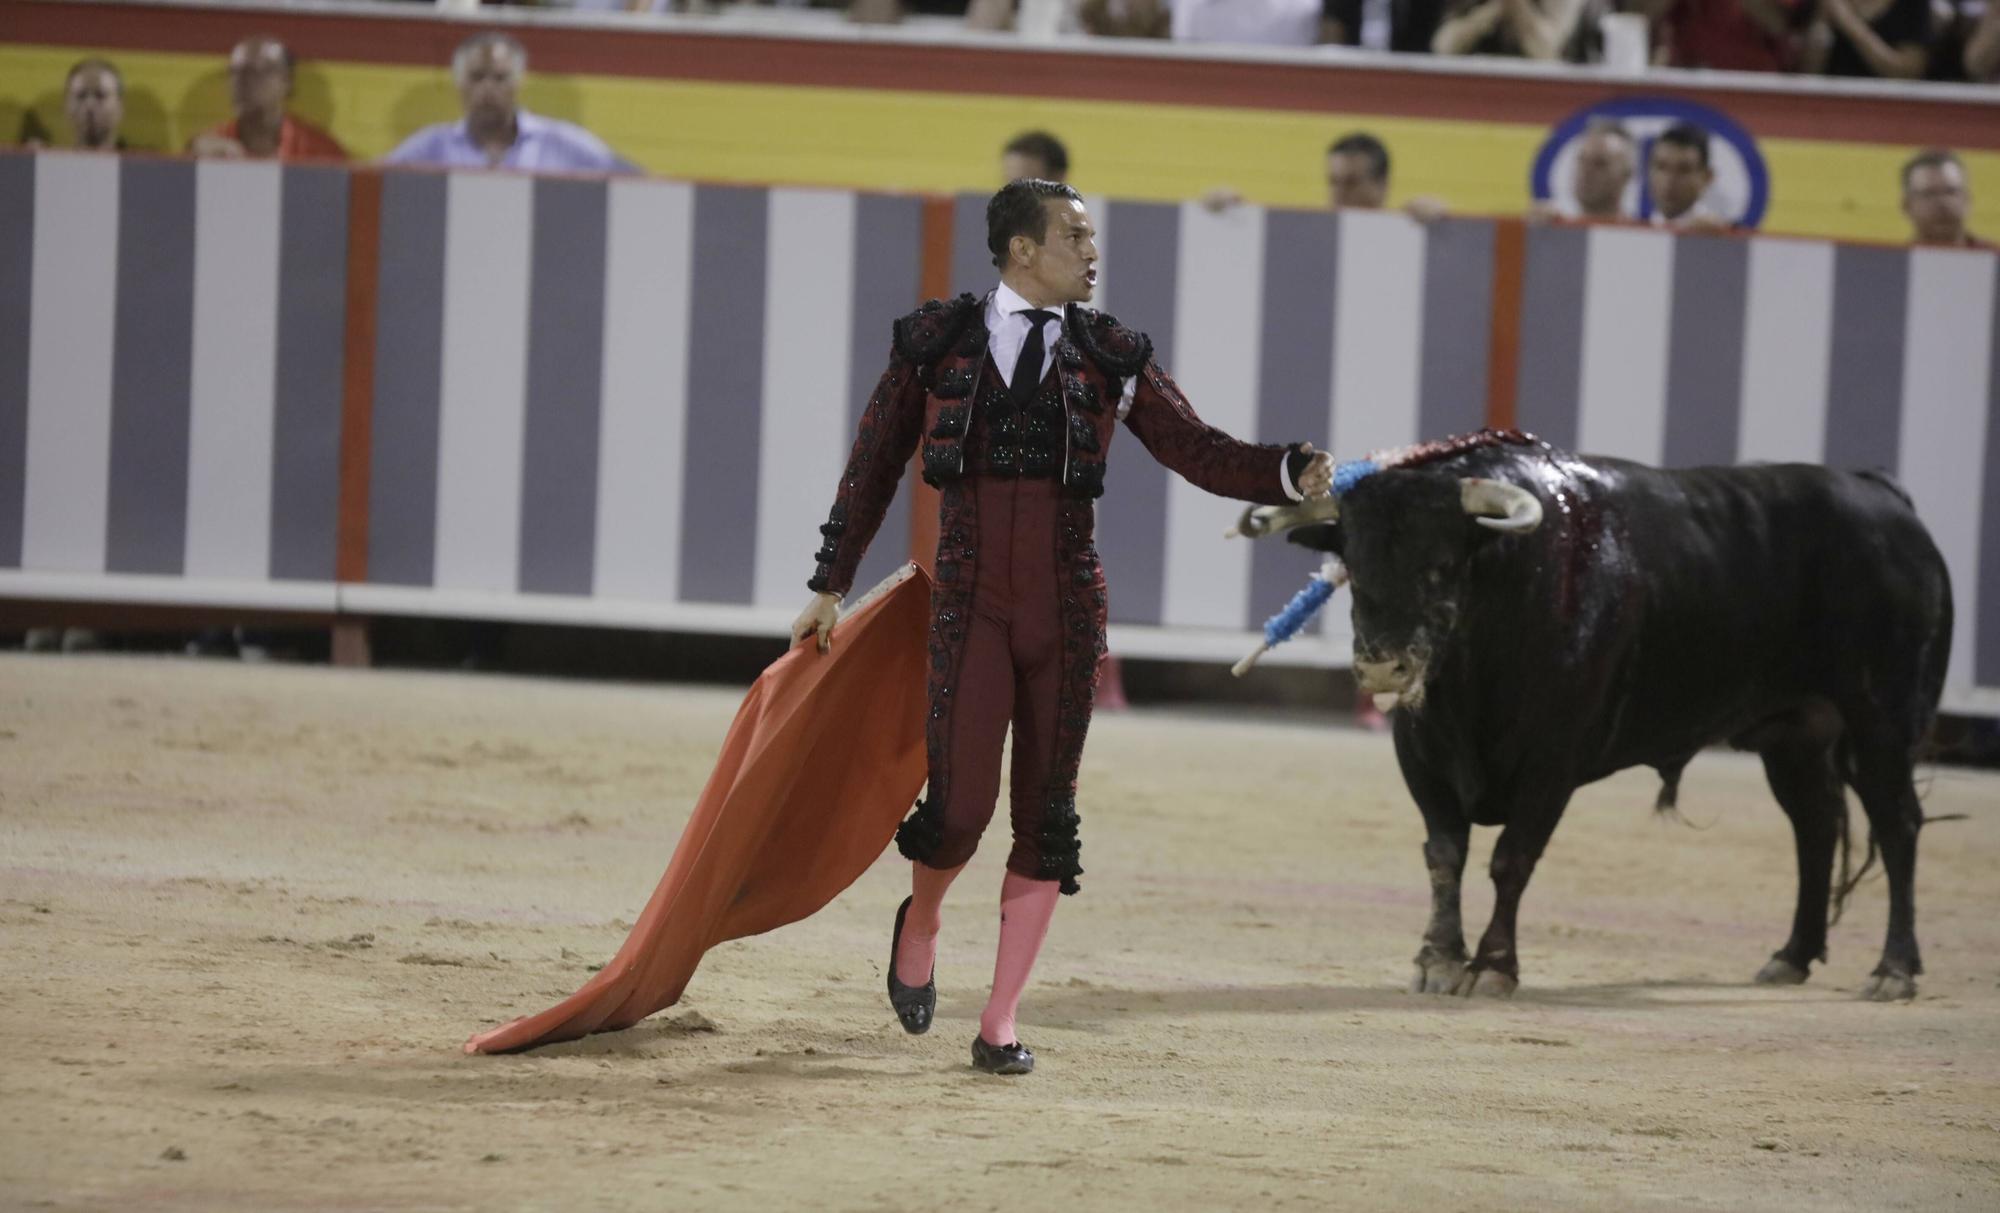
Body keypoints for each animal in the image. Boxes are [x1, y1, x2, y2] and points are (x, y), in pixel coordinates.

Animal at [1232, 436, 1952, 1008]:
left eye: (1441, 563)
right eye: (1352, 565)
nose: (1383, 668)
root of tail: (1880, 495)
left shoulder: (1552, 761)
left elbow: (1511, 858)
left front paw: (1492, 967)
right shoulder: (1421, 751)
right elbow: (1444, 854)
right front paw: (1437, 959)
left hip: (1883, 719)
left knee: (1898, 825)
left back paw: (1893, 969)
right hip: (1794, 733)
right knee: (1816, 824)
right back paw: (1791, 956)